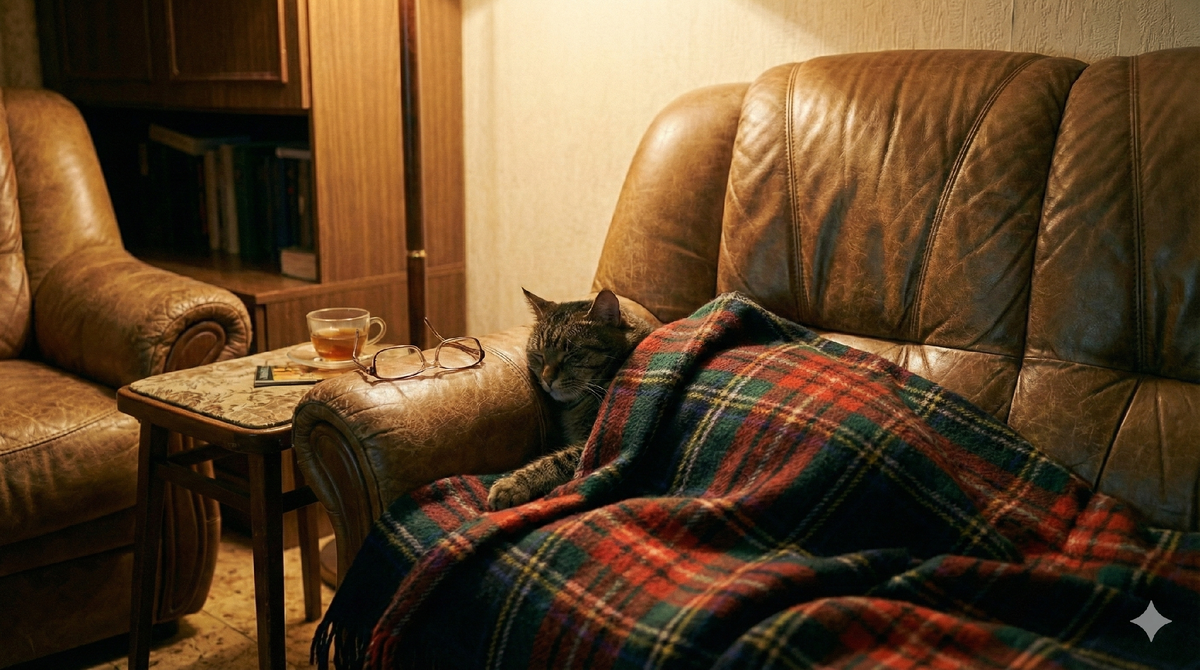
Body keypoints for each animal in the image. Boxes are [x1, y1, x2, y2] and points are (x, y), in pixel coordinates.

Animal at [487, 288, 653, 510]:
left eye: (572, 355)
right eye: (538, 355)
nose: (547, 379)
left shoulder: (594, 444)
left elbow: (556, 461)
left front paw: (511, 484)